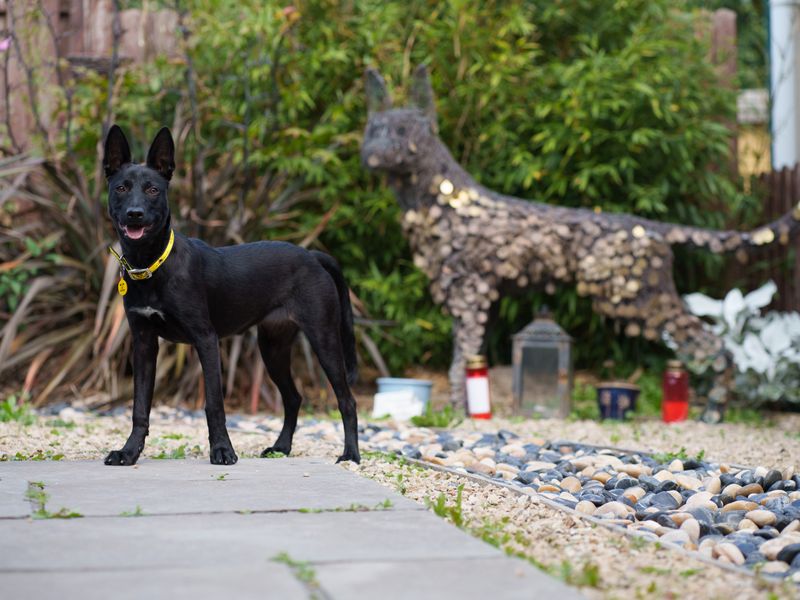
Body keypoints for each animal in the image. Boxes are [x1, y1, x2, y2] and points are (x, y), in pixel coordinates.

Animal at [101, 125, 360, 464]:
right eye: (121, 188)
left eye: (153, 190)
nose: (135, 214)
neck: (152, 265)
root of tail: (311, 255)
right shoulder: (143, 343)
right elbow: (140, 407)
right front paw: (129, 452)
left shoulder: (206, 340)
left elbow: (214, 404)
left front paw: (223, 450)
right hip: (273, 346)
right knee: (293, 397)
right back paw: (281, 447)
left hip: (324, 337)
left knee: (347, 400)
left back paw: (351, 454)